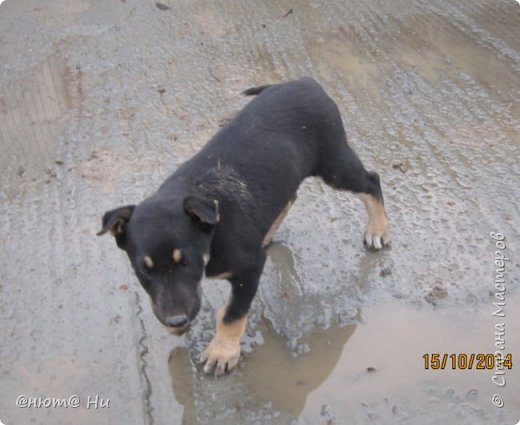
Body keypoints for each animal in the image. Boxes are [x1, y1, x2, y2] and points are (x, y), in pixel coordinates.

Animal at [98, 77, 390, 374]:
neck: (213, 228)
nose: (176, 320)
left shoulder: (250, 267)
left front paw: (222, 352)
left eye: (187, 263)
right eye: (143, 270)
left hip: (333, 164)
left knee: (371, 181)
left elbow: (233, 313)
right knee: (290, 197)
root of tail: (305, 81)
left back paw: (377, 230)